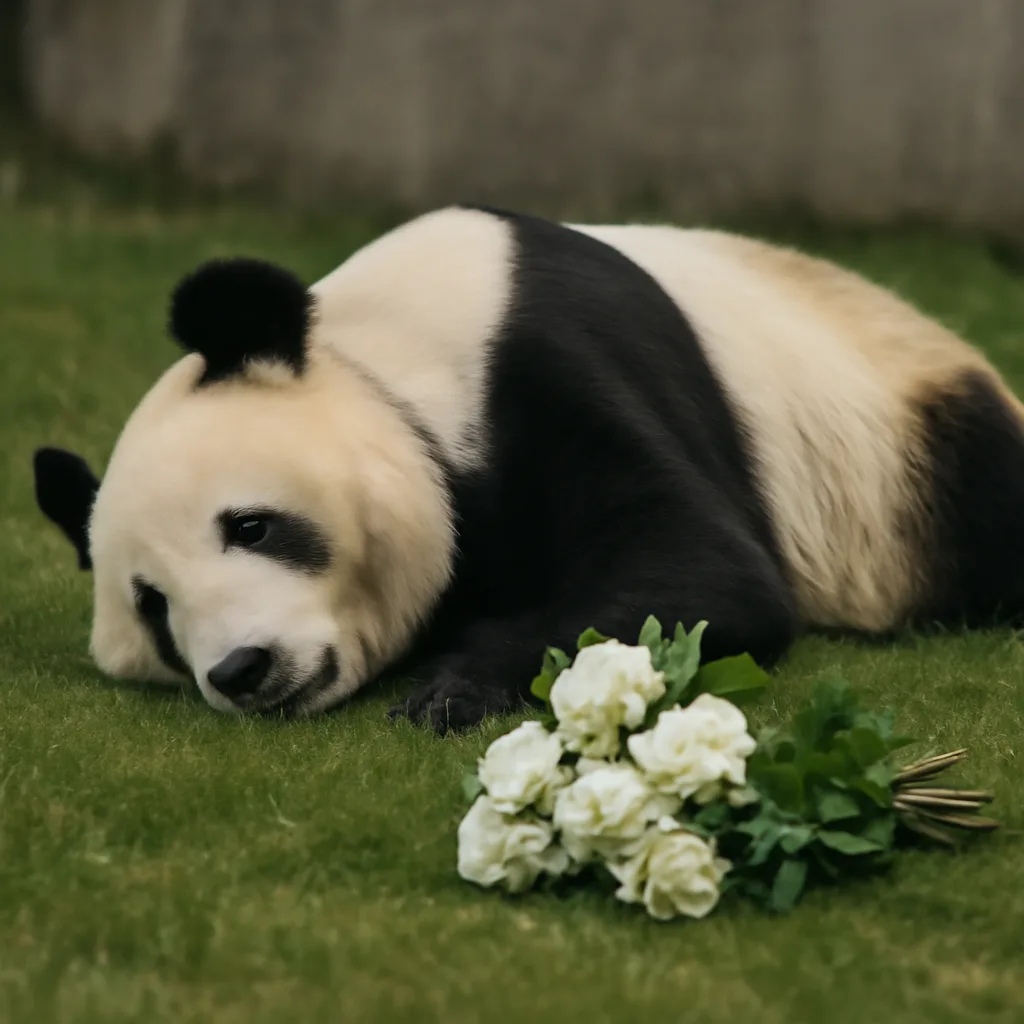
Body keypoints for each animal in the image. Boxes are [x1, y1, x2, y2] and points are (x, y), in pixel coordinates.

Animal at [32, 205, 1024, 733]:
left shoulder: (550, 358)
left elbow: (703, 570)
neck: (375, 359)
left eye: (251, 525)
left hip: (916, 460)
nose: (241, 669)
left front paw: (449, 688)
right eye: (152, 607)